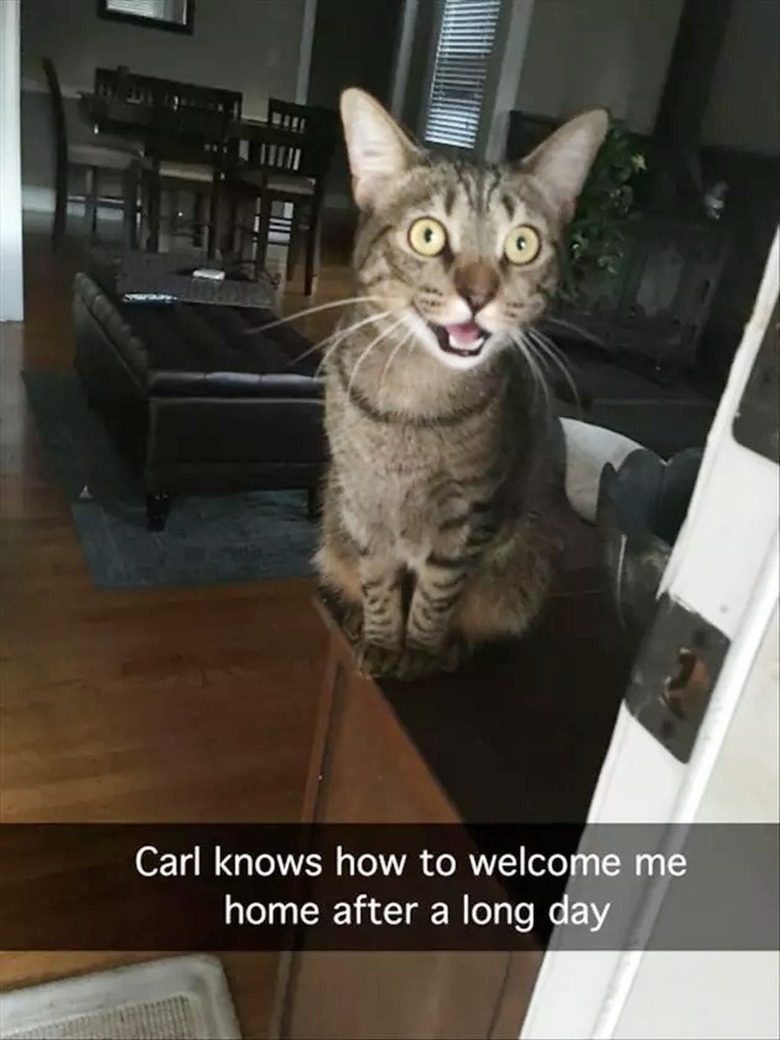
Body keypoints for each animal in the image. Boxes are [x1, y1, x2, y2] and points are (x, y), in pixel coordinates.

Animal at [314, 89, 607, 682]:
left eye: (522, 245)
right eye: (427, 235)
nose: (477, 295)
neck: (415, 401)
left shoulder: (471, 516)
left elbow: (437, 594)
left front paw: (421, 651)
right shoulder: (361, 503)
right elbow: (378, 582)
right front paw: (380, 638)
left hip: (527, 557)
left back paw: (453, 647)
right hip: (331, 519)